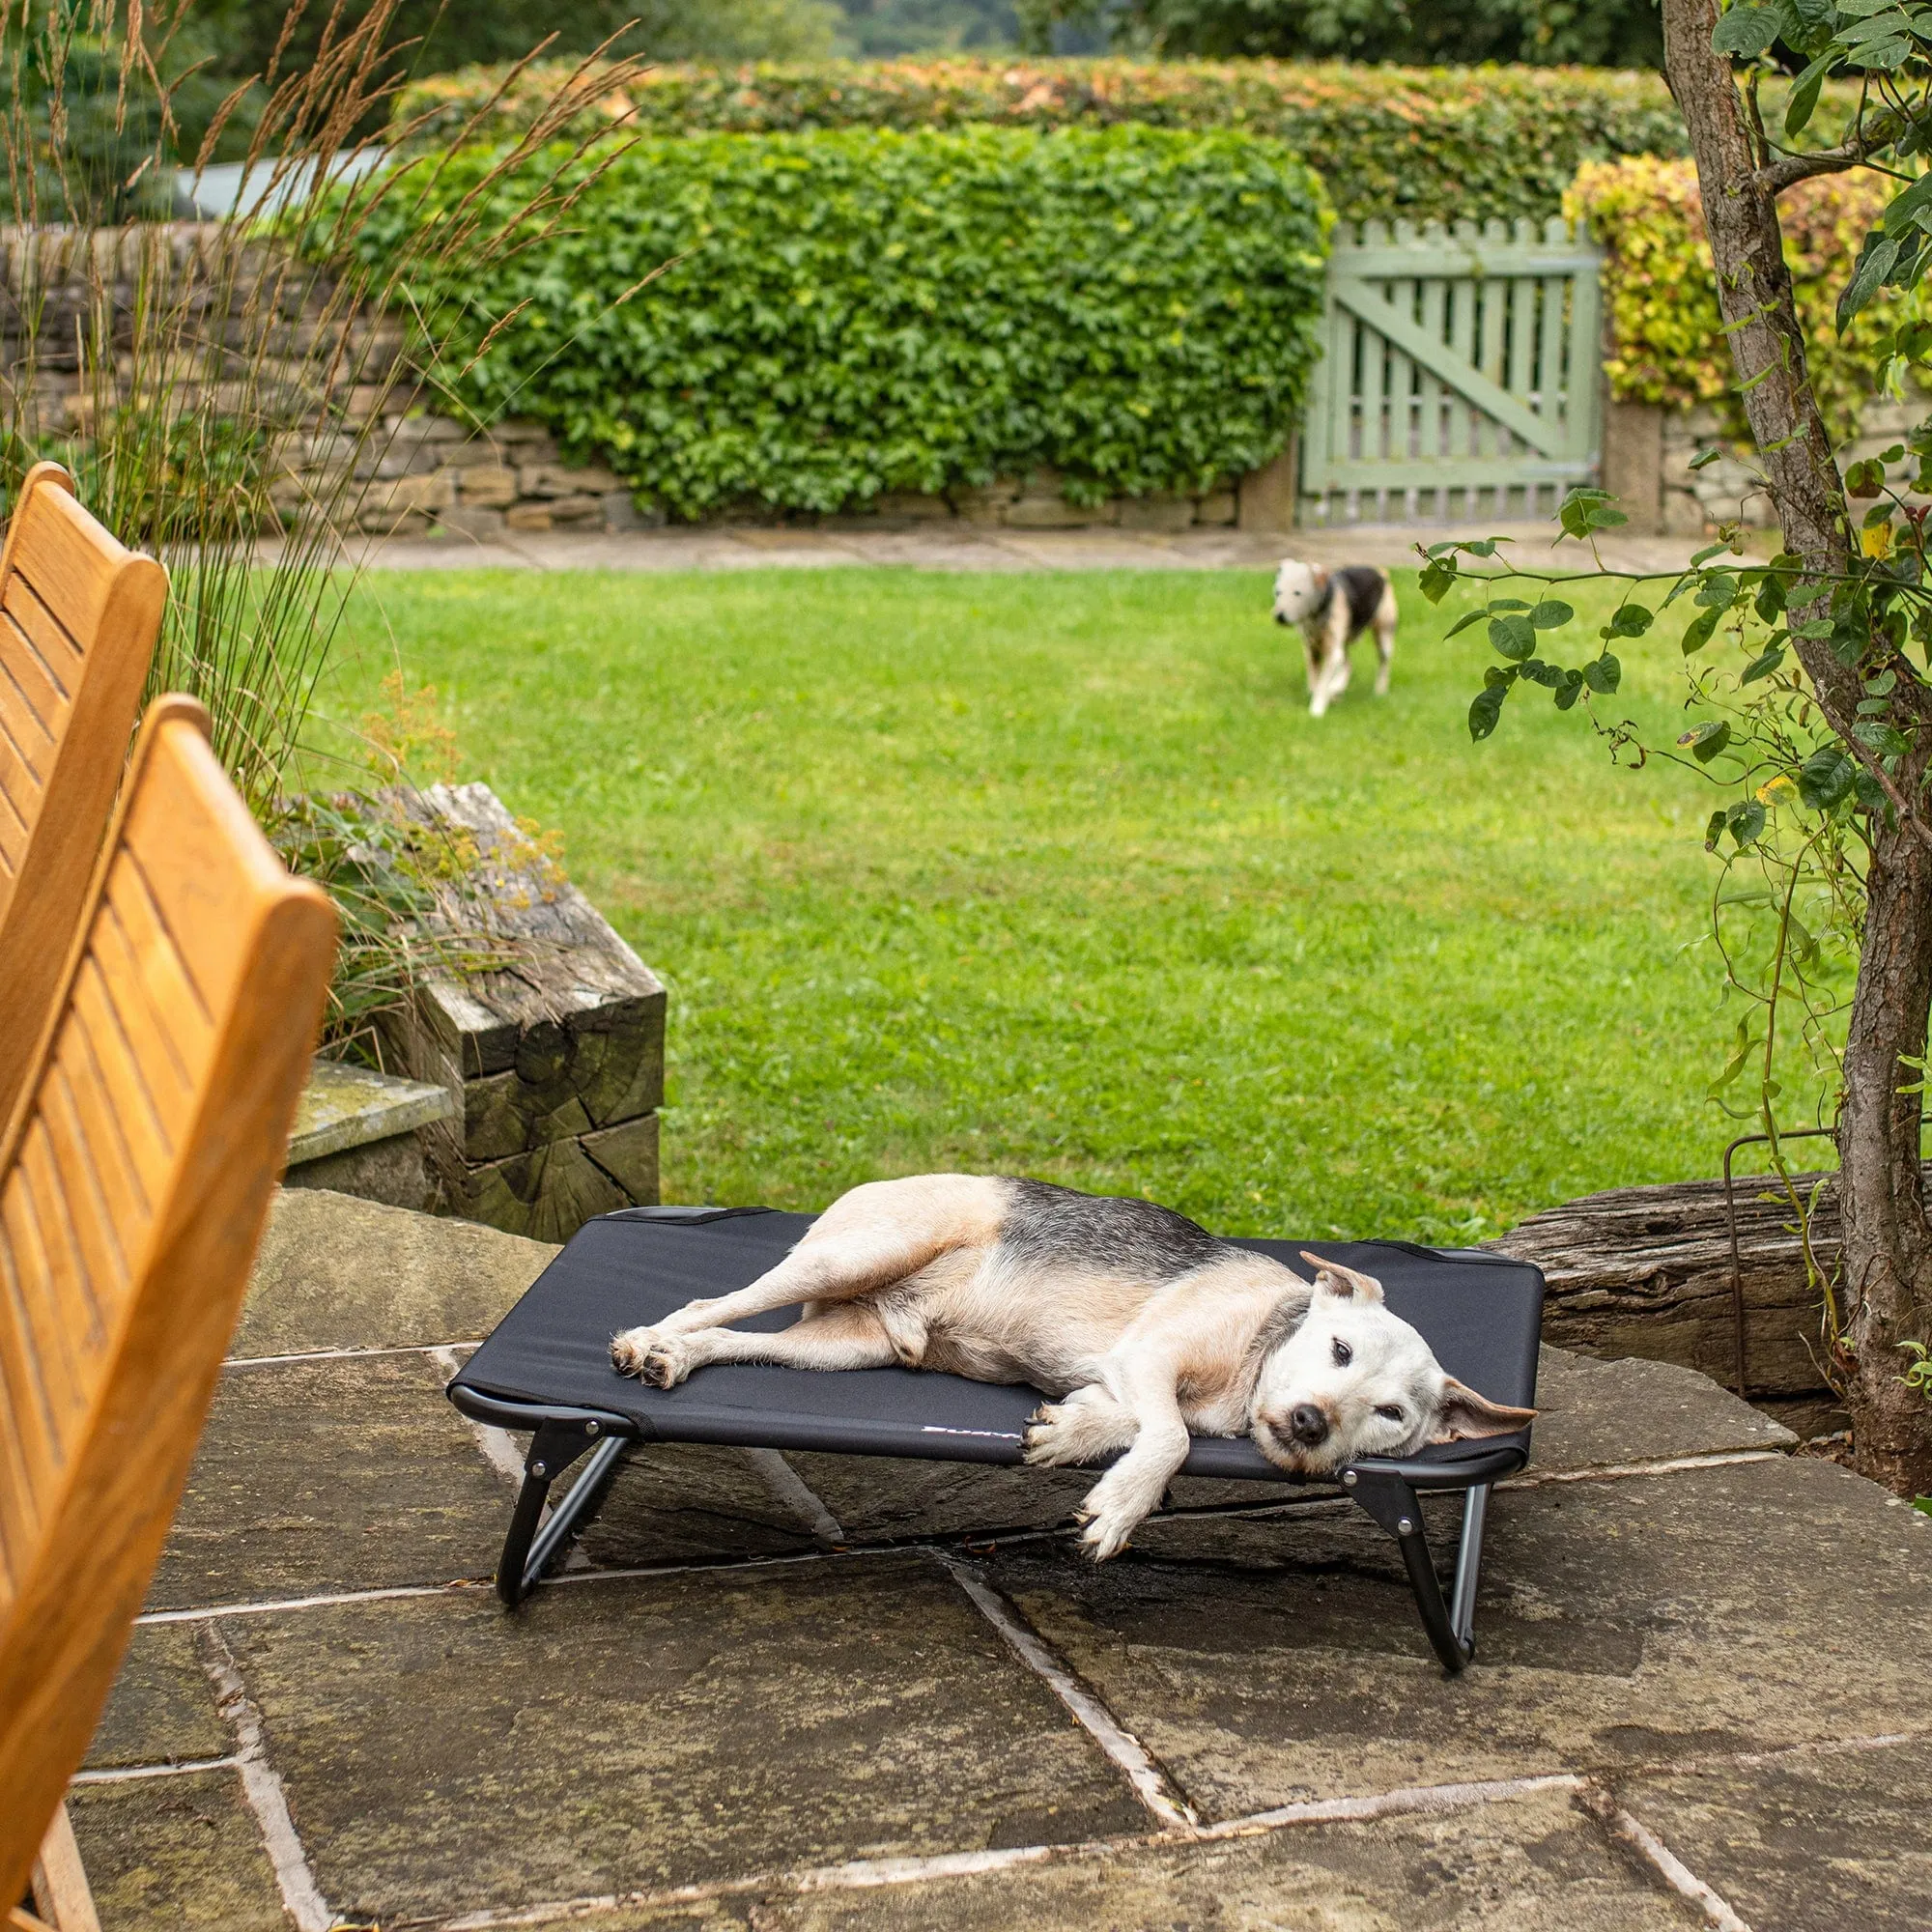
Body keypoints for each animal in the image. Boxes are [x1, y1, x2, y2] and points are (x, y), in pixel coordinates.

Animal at [611, 1167, 1530, 1561]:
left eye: (1392, 1415)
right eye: (1339, 1350)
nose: (1309, 1424)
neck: (1256, 1357)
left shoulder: (1130, 1372)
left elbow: (1136, 1421)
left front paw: (1073, 1434)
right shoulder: (1151, 1354)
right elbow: (1170, 1439)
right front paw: (1120, 1509)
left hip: (842, 1348)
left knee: (737, 1336)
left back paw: (677, 1359)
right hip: (852, 1256)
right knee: (711, 1303)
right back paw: (651, 1339)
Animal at [1275, 560, 1399, 719]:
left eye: (1298, 593)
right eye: (1278, 592)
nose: (1279, 617)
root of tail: (1381, 571)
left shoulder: (1332, 653)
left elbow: (1323, 684)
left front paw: (1317, 710)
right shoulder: (1312, 651)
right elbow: (1315, 681)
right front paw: (1326, 695)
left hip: (1383, 635)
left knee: (1383, 663)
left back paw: (1378, 691)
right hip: (1343, 645)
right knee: (1348, 665)